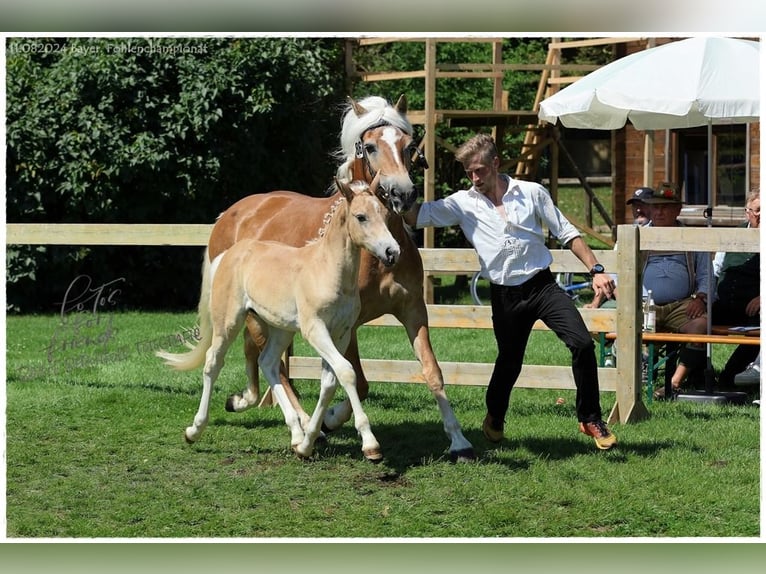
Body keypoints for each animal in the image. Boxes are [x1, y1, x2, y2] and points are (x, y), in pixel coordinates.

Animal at [161, 178, 402, 462]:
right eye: (361, 217)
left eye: (385, 215)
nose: (392, 251)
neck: (327, 270)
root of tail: (229, 253)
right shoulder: (315, 330)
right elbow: (346, 372)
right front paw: (370, 444)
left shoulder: (341, 334)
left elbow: (329, 382)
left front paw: (308, 443)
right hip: (229, 323)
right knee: (213, 363)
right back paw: (194, 430)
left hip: (280, 330)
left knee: (268, 363)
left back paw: (296, 434)